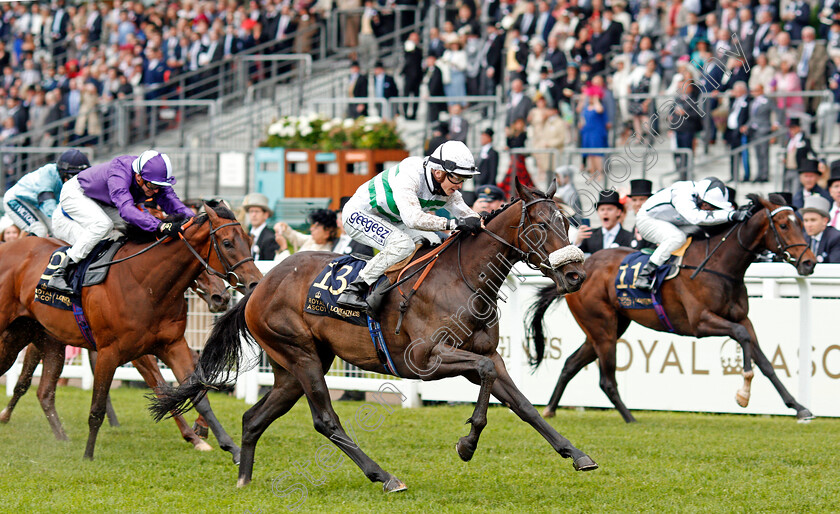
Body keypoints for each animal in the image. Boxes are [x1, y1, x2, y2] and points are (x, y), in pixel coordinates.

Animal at [528, 194, 816, 422]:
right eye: (783, 225)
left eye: (802, 224)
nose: (809, 263)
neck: (720, 266)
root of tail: (576, 270)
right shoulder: (700, 322)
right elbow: (743, 338)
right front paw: (743, 393)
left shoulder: (743, 318)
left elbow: (765, 361)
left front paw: (799, 407)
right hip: (602, 329)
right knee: (606, 379)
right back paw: (630, 419)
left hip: (607, 328)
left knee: (571, 363)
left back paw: (551, 409)